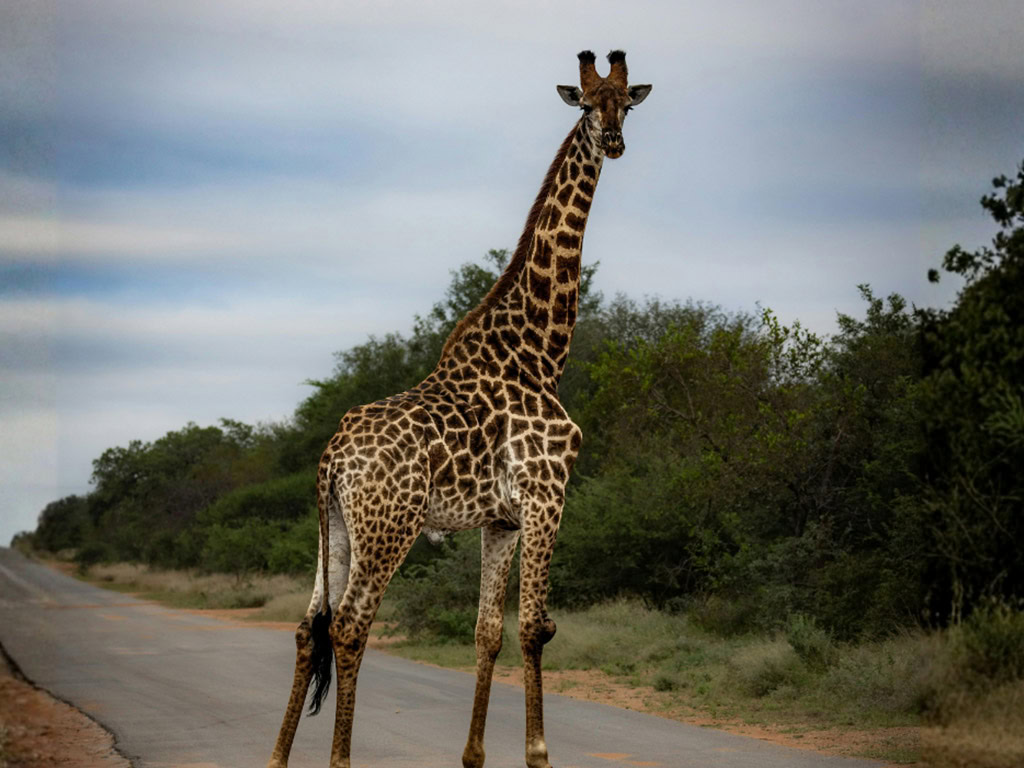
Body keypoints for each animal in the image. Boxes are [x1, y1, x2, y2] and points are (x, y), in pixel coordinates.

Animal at [267, 49, 651, 768]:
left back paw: (276, 757)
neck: (540, 350)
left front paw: (474, 755)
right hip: (389, 526)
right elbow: (534, 629)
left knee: (310, 627)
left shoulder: (500, 518)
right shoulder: (547, 492)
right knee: (352, 626)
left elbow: (487, 631)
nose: (613, 142)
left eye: (627, 105)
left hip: (334, 527)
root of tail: (332, 457)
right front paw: (538, 753)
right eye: (589, 106)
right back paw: (339, 758)